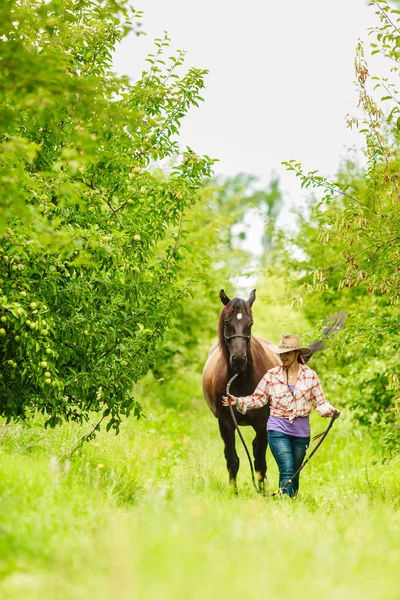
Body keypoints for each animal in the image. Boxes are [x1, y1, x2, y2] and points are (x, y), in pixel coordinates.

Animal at [203, 288, 278, 490]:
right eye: (227, 322)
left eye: (250, 323)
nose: (238, 360)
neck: (241, 380)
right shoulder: (226, 423)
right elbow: (232, 460)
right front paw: (233, 491)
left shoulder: (262, 424)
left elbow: (260, 461)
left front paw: (262, 492)